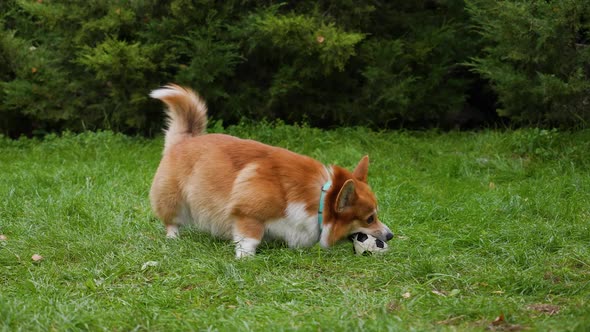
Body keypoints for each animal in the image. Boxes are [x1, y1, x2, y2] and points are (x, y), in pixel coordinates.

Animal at [148, 84, 394, 258]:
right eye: (369, 219)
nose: (390, 235)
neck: (320, 199)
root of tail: (184, 139)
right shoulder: (247, 214)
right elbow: (249, 238)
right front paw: (245, 257)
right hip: (173, 200)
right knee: (171, 221)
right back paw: (173, 237)